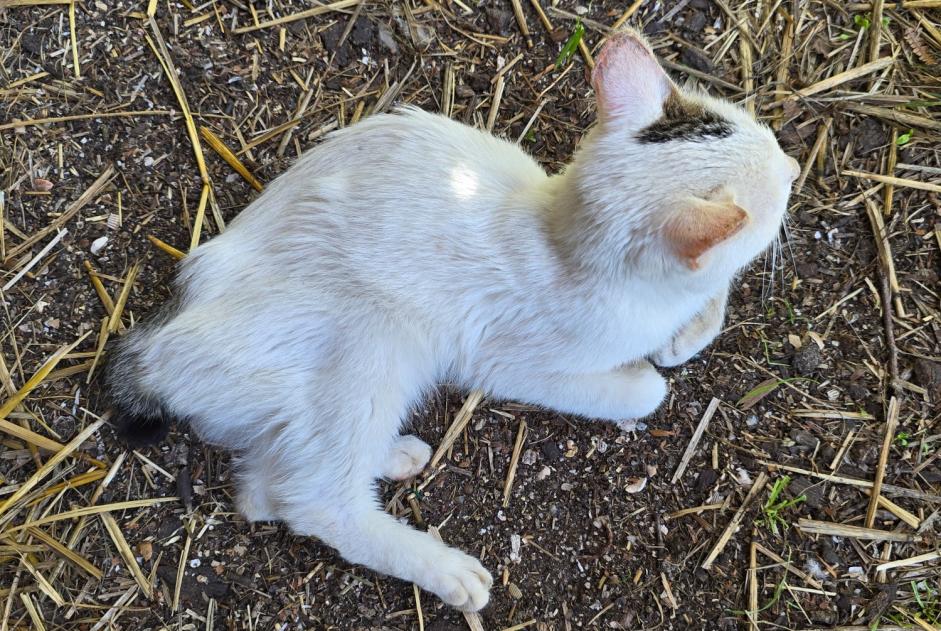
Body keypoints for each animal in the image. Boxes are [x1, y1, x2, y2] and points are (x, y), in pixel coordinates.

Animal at [108, 28, 800, 612]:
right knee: (311, 500)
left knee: (263, 488)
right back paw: (445, 569)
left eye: (765, 138)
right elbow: (647, 389)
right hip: (378, 344)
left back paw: (392, 455)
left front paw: (687, 330)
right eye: (777, 196)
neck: (563, 241)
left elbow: (701, 309)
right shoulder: (509, 362)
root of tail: (161, 346)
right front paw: (650, 369)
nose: (795, 168)